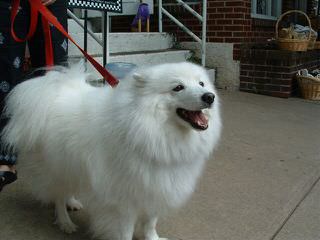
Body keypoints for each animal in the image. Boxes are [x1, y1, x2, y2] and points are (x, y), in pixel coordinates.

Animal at [2, 62, 221, 240]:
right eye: (178, 87)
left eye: (201, 84)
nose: (209, 97)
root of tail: (50, 94)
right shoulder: (123, 199)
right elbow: (125, 230)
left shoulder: (156, 187)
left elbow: (150, 223)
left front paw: (153, 238)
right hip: (56, 168)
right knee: (58, 196)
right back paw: (65, 222)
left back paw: (73, 202)